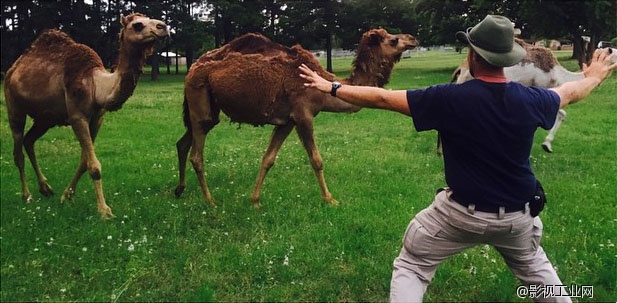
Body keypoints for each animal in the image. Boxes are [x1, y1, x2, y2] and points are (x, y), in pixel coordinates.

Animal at [4, 13, 170, 220]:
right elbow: (94, 166)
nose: (163, 27)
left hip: (45, 118)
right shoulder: (77, 116)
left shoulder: (97, 118)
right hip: (14, 107)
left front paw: (66, 196)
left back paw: (46, 189)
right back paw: (27, 196)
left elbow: (84, 161)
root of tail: (13, 69)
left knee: (29, 140)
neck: (96, 85)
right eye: (138, 25)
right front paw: (104, 211)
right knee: (18, 150)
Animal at [174, 29, 418, 209]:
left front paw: (255, 201)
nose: (413, 38)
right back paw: (210, 200)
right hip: (200, 101)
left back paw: (180, 190)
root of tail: (192, 68)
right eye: (394, 39)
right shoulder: (303, 115)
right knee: (197, 155)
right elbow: (316, 160)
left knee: (183, 142)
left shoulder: (287, 122)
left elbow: (268, 159)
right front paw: (330, 199)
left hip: (207, 110)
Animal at [438, 39, 616, 154]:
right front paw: (544, 145)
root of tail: (461, 68)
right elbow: (560, 113)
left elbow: (560, 114)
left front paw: (546, 145)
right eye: (614, 51)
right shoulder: (540, 89)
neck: (558, 74)